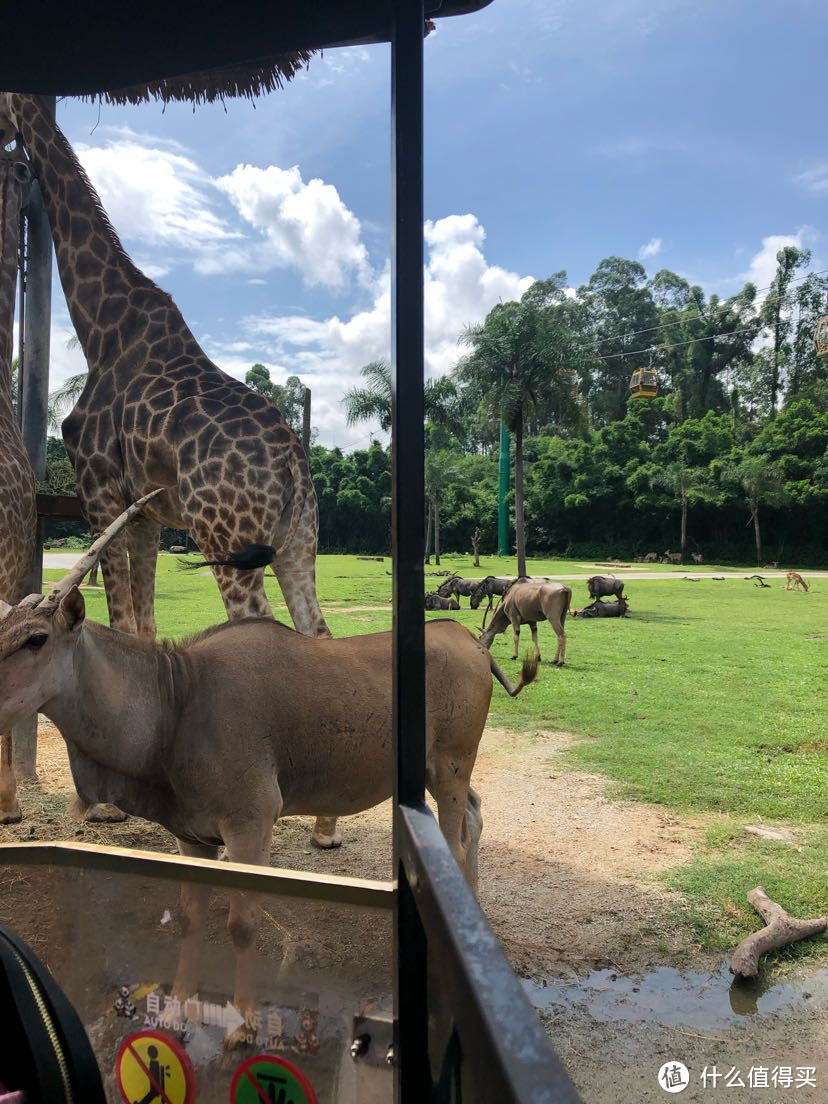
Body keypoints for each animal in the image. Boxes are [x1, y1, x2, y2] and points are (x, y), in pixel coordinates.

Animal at [0, 92, 342, 843]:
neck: (101, 327)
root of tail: (294, 460)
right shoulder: (148, 515)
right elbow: (144, 628)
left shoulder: (99, 493)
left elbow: (121, 620)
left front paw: (102, 803)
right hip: (299, 541)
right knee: (319, 634)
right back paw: (326, 825)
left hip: (228, 538)